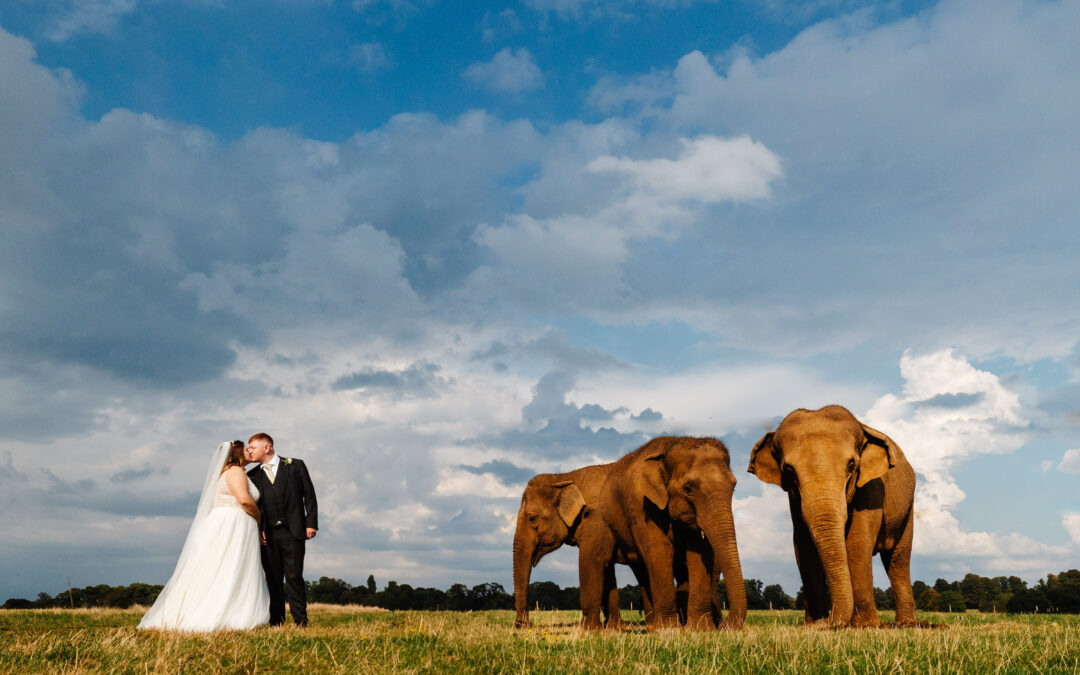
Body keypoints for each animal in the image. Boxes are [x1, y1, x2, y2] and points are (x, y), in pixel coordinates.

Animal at [596, 434, 747, 630]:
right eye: (689, 488)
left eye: (733, 487)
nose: (724, 626)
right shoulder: (641, 503)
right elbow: (660, 550)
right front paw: (668, 630)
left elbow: (699, 553)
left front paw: (700, 630)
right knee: (642, 568)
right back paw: (655, 627)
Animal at [751, 406, 920, 626]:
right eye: (789, 472)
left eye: (851, 466)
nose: (827, 620)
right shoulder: (794, 501)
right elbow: (803, 545)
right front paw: (812, 625)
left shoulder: (871, 488)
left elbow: (857, 543)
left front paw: (865, 626)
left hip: (908, 508)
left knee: (898, 560)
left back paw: (906, 624)